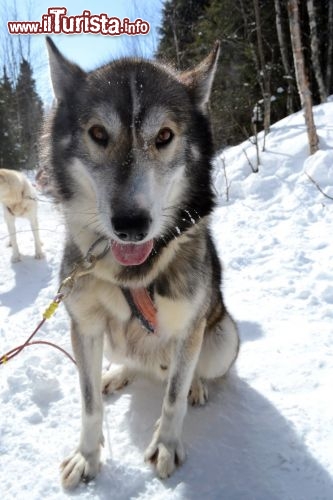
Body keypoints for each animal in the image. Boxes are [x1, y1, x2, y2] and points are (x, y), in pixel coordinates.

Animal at [42, 38, 239, 488]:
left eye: (164, 135)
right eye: (98, 133)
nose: (131, 225)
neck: (132, 276)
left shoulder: (188, 329)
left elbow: (172, 399)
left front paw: (166, 444)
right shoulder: (85, 328)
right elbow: (89, 405)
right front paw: (87, 457)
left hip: (222, 339)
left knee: (188, 374)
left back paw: (196, 386)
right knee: (128, 362)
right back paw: (118, 374)